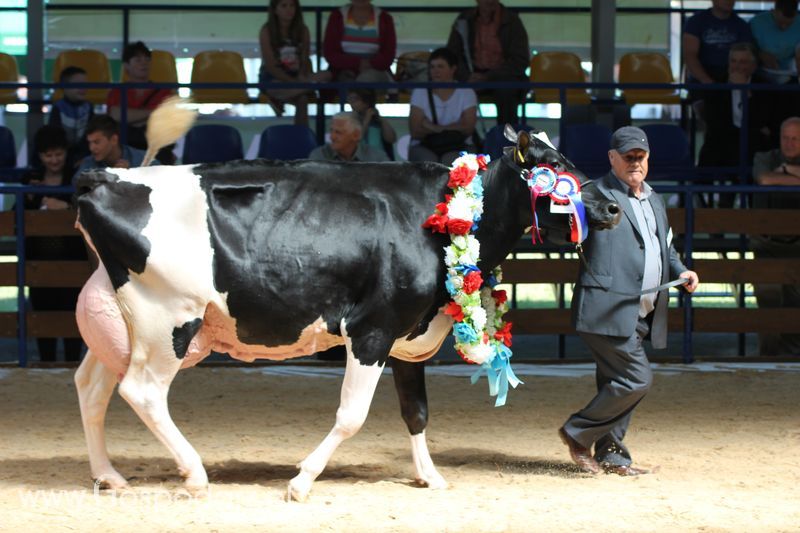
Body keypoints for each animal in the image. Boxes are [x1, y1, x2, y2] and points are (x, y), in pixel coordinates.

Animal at [73, 125, 620, 498]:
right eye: (553, 167)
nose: (612, 207)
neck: (443, 218)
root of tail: (107, 176)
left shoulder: (404, 337)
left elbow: (416, 412)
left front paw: (430, 476)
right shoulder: (372, 329)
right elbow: (352, 415)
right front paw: (302, 481)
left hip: (122, 324)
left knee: (92, 387)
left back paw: (109, 475)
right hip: (167, 320)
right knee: (142, 392)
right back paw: (195, 474)